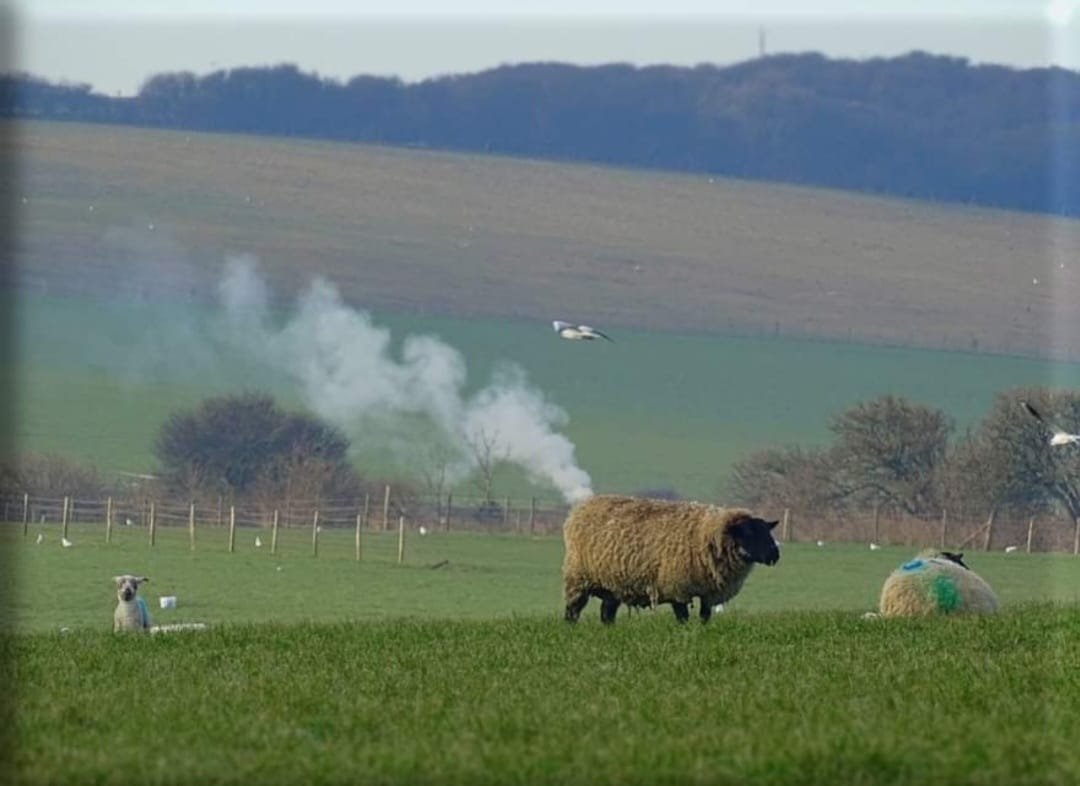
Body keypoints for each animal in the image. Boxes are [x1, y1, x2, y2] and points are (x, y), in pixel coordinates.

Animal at [562, 495, 780, 624]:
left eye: (767, 531)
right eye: (749, 532)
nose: (775, 555)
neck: (706, 534)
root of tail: (580, 509)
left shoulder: (708, 592)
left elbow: (705, 615)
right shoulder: (677, 587)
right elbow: (682, 615)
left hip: (613, 585)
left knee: (606, 613)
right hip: (578, 579)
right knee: (573, 609)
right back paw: (570, 627)